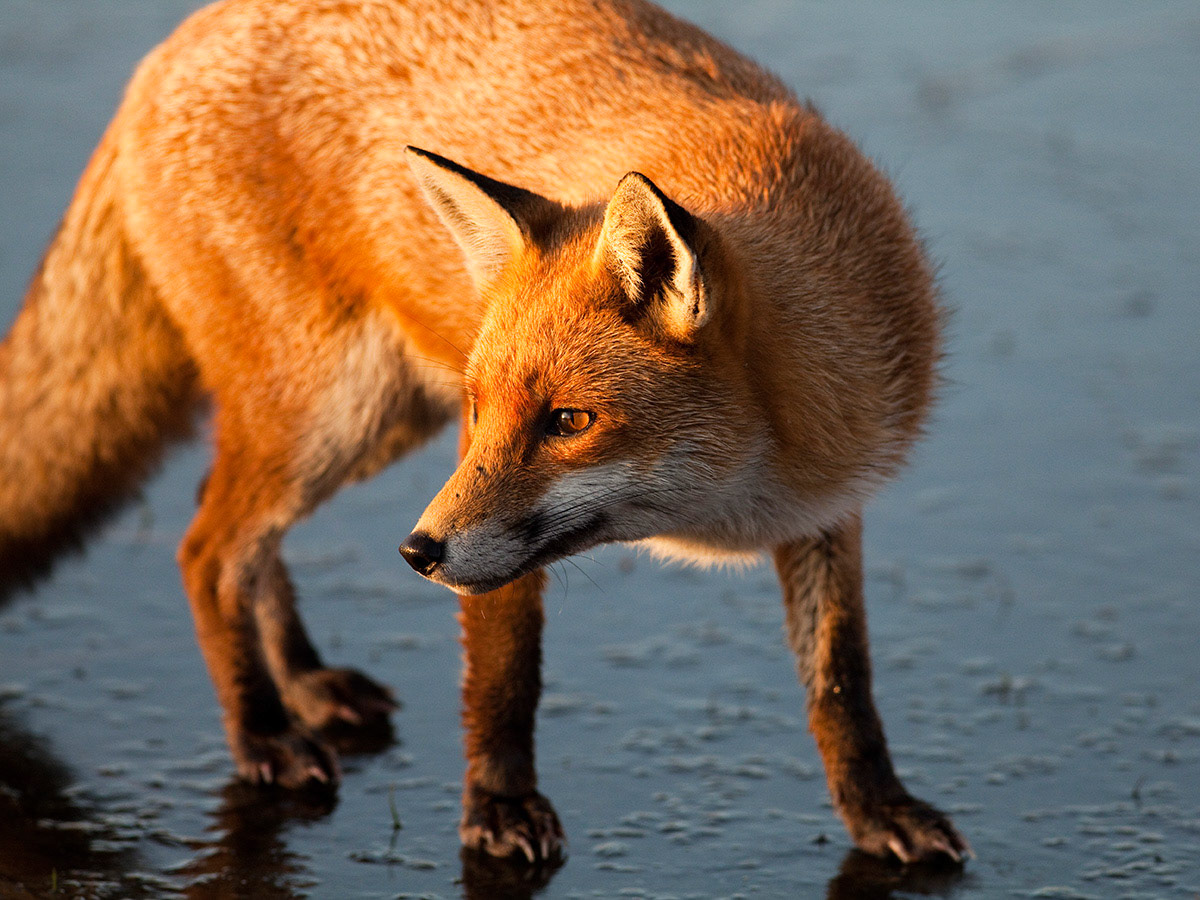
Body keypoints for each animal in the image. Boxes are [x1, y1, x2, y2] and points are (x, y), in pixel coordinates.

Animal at [0, 0, 968, 867]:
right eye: (482, 409)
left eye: (569, 421)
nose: (415, 555)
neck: (743, 493)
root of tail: (173, 46)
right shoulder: (485, 528)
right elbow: (505, 681)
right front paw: (499, 811)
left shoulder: (826, 509)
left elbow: (842, 685)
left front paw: (879, 810)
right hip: (329, 416)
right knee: (208, 551)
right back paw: (264, 734)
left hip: (365, 424)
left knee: (233, 530)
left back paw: (304, 683)